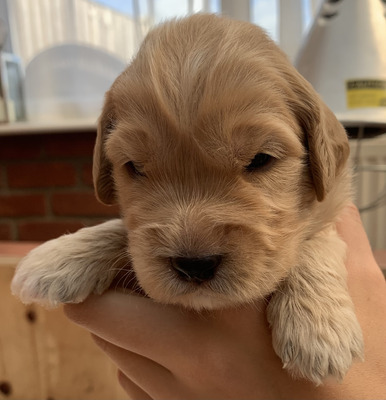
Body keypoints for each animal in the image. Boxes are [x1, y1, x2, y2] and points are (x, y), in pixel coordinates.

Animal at [11, 14, 362, 384]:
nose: (194, 265)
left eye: (260, 159)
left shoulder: (335, 202)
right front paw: (57, 258)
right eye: (134, 167)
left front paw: (319, 330)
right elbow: (125, 230)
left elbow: (318, 240)